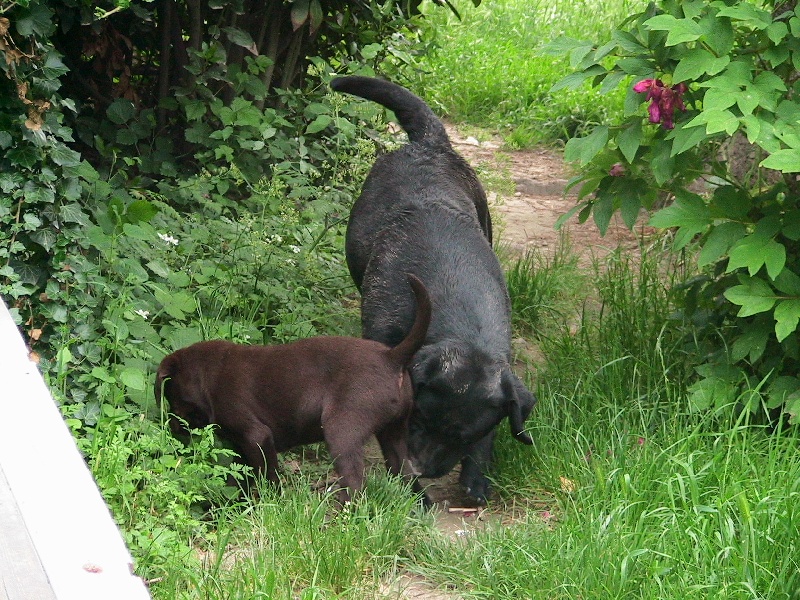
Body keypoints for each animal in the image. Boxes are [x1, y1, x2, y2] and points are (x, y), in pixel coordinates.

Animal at [155, 274, 432, 504]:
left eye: (171, 397)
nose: (171, 428)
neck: (209, 374)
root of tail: (392, 357)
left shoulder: (257, 437)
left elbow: (268, 479)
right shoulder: (240, 447)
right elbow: (238, 480)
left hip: (341, 431)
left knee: (354, 484)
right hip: (393, 433)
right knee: (405, 475)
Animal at [332, 77, 536, 504]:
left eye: (464, 435)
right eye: (420, 418)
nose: (422, 469)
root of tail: (429, 143)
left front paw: (476, 477)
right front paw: (414, 493)